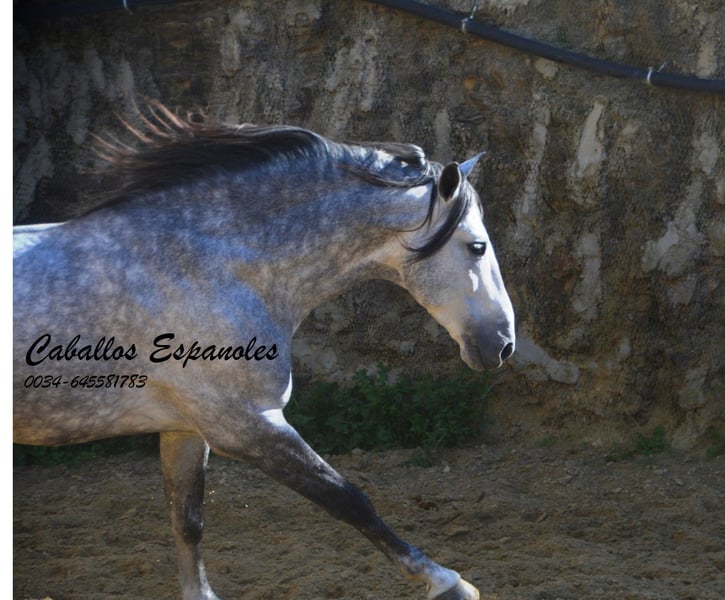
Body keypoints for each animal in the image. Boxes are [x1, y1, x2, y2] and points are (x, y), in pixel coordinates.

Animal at [13, 104, 515, 600]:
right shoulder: (245, 424)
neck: (207, 266)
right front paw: (448, 583)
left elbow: (187, 521)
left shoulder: (185, 429)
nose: (504, 343)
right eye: (477, 246)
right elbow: (349, 500)